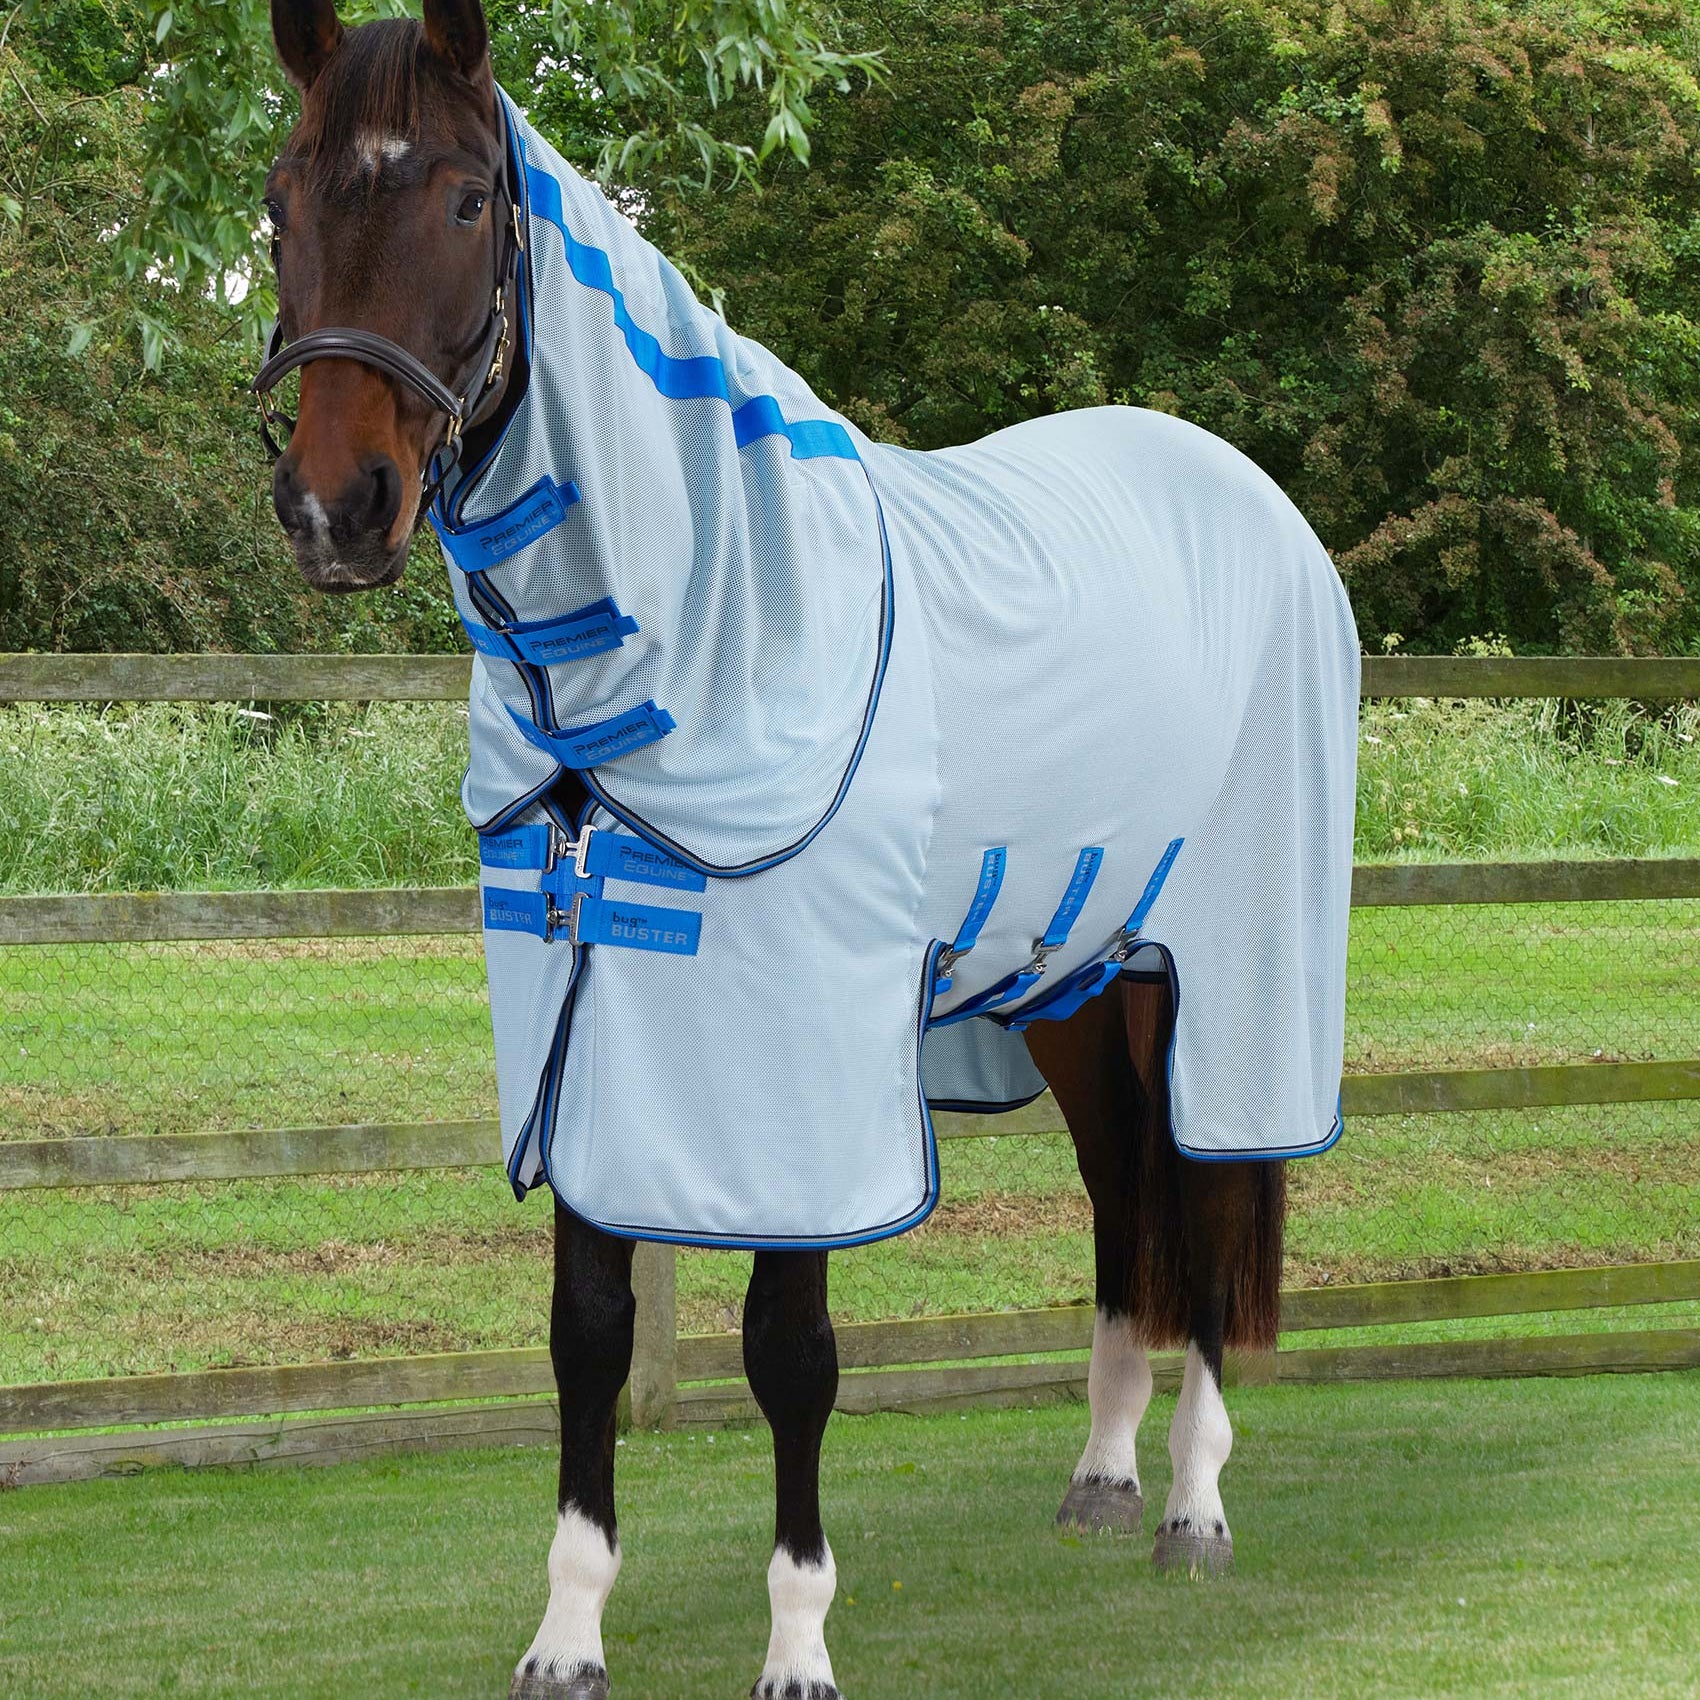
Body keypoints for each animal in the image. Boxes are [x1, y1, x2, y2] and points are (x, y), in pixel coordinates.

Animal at [254, 3, 1360, 1694]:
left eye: (462, 196)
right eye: (281, 201)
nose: (335, 506)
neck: (702, 622)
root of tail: (1247, 496)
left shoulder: (794, 1068)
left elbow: (791, 1355)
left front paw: (797, 1645)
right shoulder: (587, 1022)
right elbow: (588, 1332)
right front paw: (568, 1635)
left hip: (1226, 978)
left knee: (1210, 1192)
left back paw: (1193, 1506)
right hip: (1077, 976)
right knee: (1126, 1194)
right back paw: (1102, 1479)